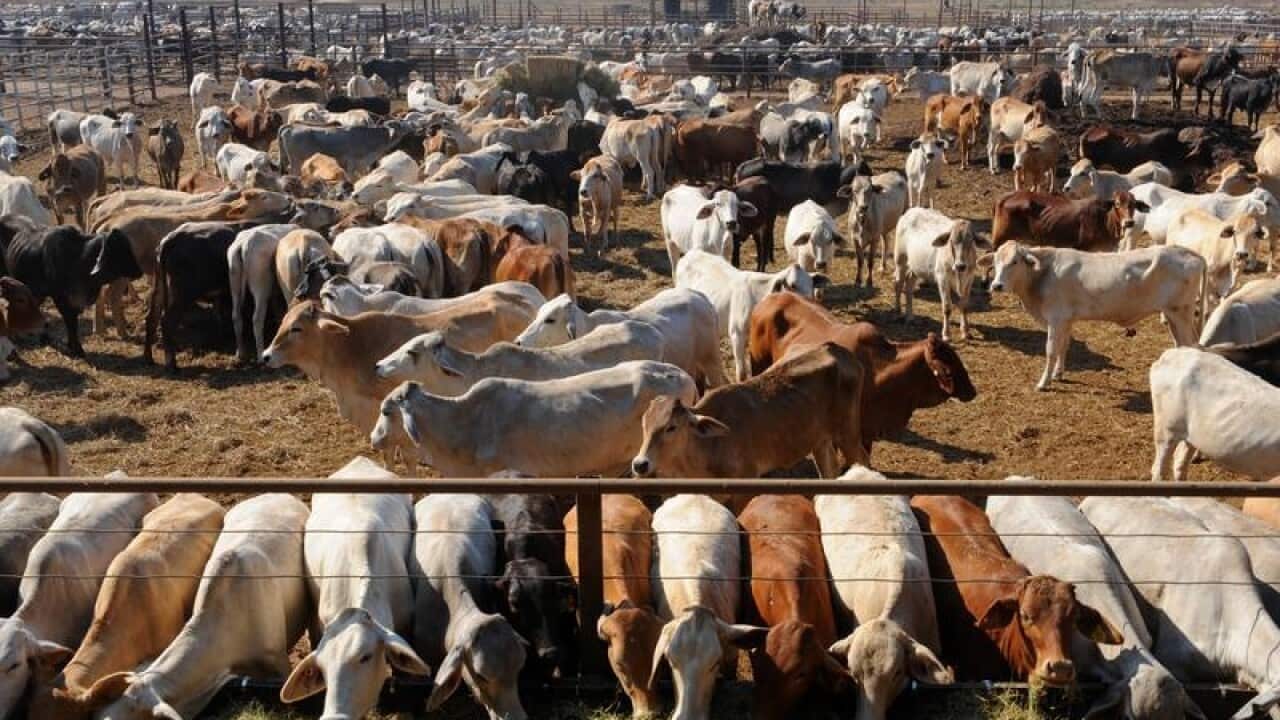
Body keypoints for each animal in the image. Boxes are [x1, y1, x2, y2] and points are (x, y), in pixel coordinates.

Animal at [631, 342, 868, 479]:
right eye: (644, 425)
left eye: (671, 427)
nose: (640, 464)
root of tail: (837, 350)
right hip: (820, 441)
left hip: (847, 434)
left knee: (863, 459)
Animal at [894, 209, 988, 342]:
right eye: (951, 241)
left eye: (971, 242)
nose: (960, 266)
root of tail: (911, 211)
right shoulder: (942, 279)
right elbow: (947, 307)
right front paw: (946, 334)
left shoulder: (969, 279)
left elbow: (964, 305)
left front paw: (965, 332)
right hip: (900, 260)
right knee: (898, 284)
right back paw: (897, 311)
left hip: (915, 267)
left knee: (909, 287)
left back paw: (910, 316)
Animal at [982, 242, 1205, 390]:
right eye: (995, 262)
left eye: (1015, 261)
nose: (997, 285)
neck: (1043, 274)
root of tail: (1187, 251)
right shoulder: (1066, 320)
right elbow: (1064, 347)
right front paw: (1058, 374)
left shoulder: (1056, 319)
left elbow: (1051, 350)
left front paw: (1043, 383)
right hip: (1173, 316)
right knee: (1182, 345)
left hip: (1181, 313)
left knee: (1192, 346)